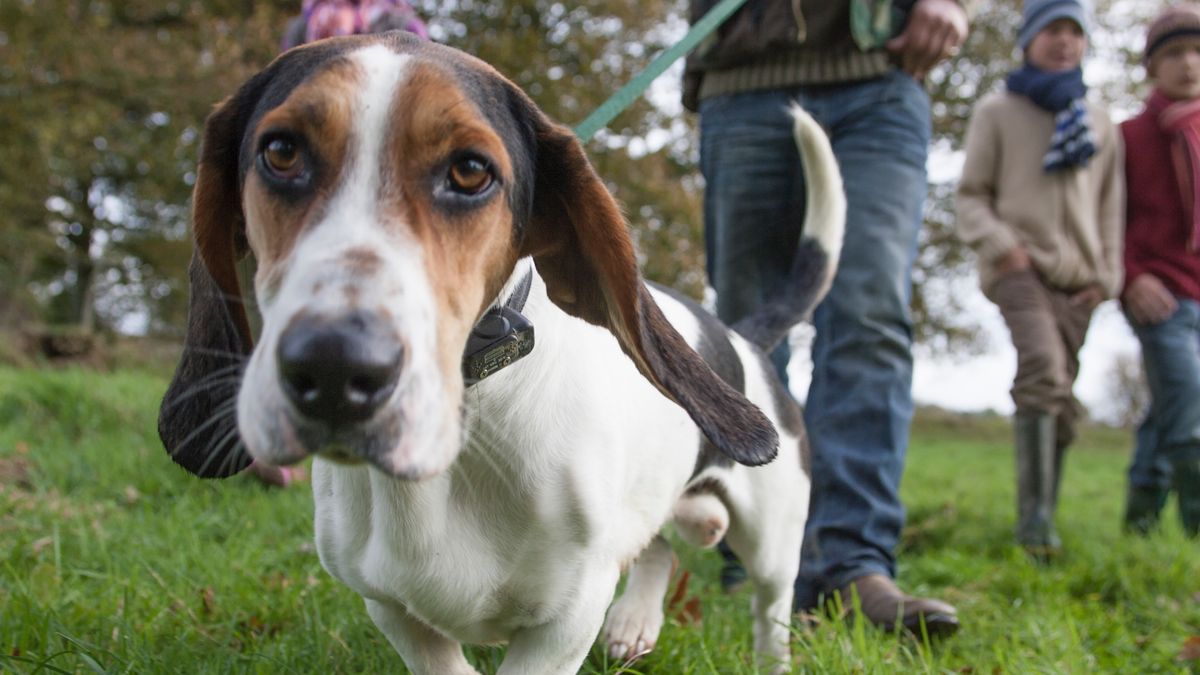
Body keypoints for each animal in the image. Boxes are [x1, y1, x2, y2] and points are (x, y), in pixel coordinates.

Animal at [162, 31, 844, 672]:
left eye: (470, 171)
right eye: (281, 152)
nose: (334, 368)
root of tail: (742, 335)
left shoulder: (565, 621)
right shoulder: (390, 606)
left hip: (773, 544)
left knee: (769, 611)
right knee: (659, 547)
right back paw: (635, 623)